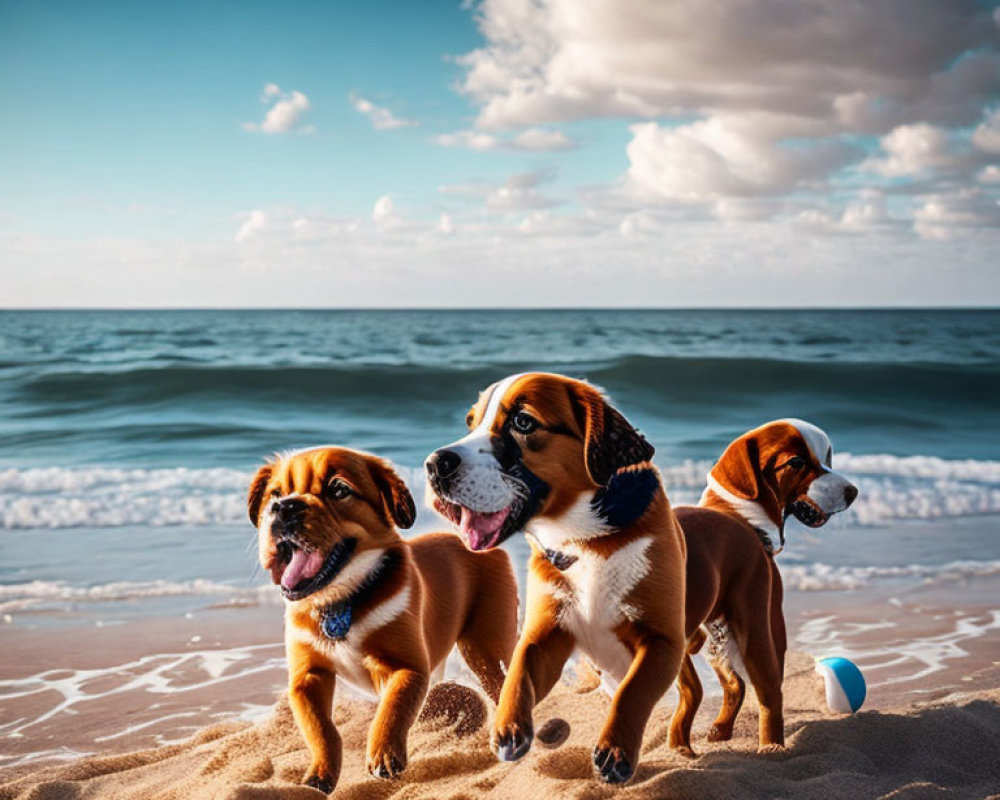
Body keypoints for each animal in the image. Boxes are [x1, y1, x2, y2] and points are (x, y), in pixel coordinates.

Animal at [247, 446, 520, 792]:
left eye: (339, 490)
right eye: (275, 494)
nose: (284, 506)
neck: (343, 600)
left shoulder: (409, 667)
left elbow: (393, 709)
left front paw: (384, 755)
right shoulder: (307, 677)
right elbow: (319, 727)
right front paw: (320, 773)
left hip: (486, 650)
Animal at [422, 374, 688, 780]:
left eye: (523, 422)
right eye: (471, 423)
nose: (434, 464)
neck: (583, 539)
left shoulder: (664, 638)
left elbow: (634, 690)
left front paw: (615, 749)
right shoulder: (549, 629)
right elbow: (519, 668)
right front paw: (509, 725)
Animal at [664, 418, 860, 756]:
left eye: (827, 459)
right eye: (796, 462)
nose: (853, 491)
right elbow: (691, 688)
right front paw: (679, 746)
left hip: (758, 628)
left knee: (768, 692)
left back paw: (770, 749)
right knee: (737, 683)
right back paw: (721, 730)